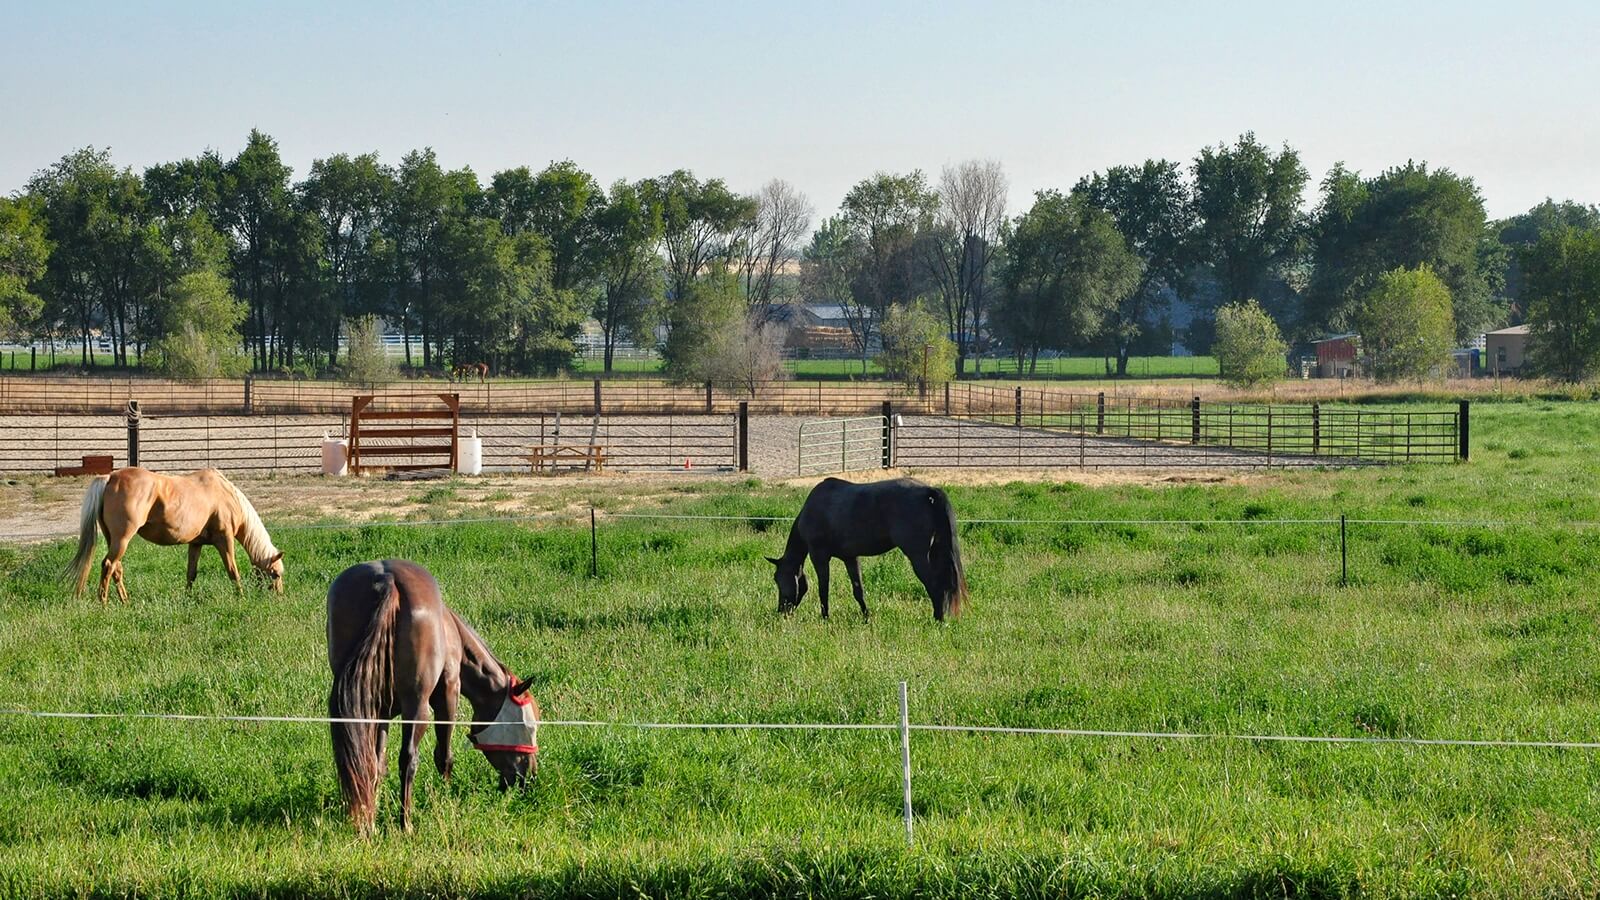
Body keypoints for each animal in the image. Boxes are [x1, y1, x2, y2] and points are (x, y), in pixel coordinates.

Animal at [65, 467, 284, 604]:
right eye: (275, 574)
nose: (280, 597)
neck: (226, 495)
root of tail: (110, 478)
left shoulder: (196, 544)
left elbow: (191, 573)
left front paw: (187, 598)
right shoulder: (225, 539)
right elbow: (233, 571)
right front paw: (241, 597)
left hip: (114, 540)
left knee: (116, 569)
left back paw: (125, 601)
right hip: (122, 540)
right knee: (109, 565)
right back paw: (103, 604)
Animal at [327, 559, 540, 833]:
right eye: (527, 726)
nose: (529, 777)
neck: (452, 632)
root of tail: (386, 580)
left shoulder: (381, 712)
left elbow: (377, 763)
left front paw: (373, 810)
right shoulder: (448, 694)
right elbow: (444, 756)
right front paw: (446, 797)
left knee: (365, 760)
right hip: (418, 708)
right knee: (409, 758)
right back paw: (405, 823)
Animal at [767, 476, 968, 622]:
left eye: (777, 579)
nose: (782, 611)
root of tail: (928, 492)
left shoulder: (819, 556)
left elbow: (823, 588)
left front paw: (825, 617)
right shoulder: (850, 558)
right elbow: (858, 590)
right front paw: (866, 617)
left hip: (918, 556)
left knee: (934, 584)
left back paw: (938, 619)